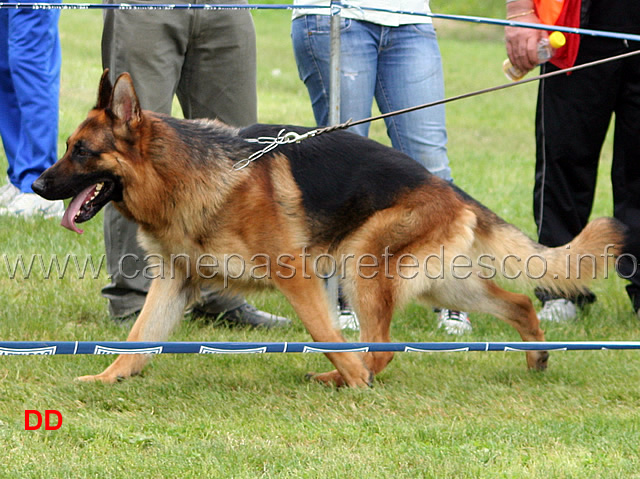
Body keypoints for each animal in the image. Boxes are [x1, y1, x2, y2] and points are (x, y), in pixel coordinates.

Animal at [32, 71, 624, 386]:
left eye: (80, 151)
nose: (36, 184)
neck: (184, 172)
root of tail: (447, 188)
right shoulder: (175, 283)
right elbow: (137, 338)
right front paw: (107, 379)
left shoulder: (297, 277)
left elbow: (327, 335)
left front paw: (353, 381)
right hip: (440, 283)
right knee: (518, 302)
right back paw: (536, 356)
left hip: (362, 267)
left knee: (381, 347)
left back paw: (348, 379)